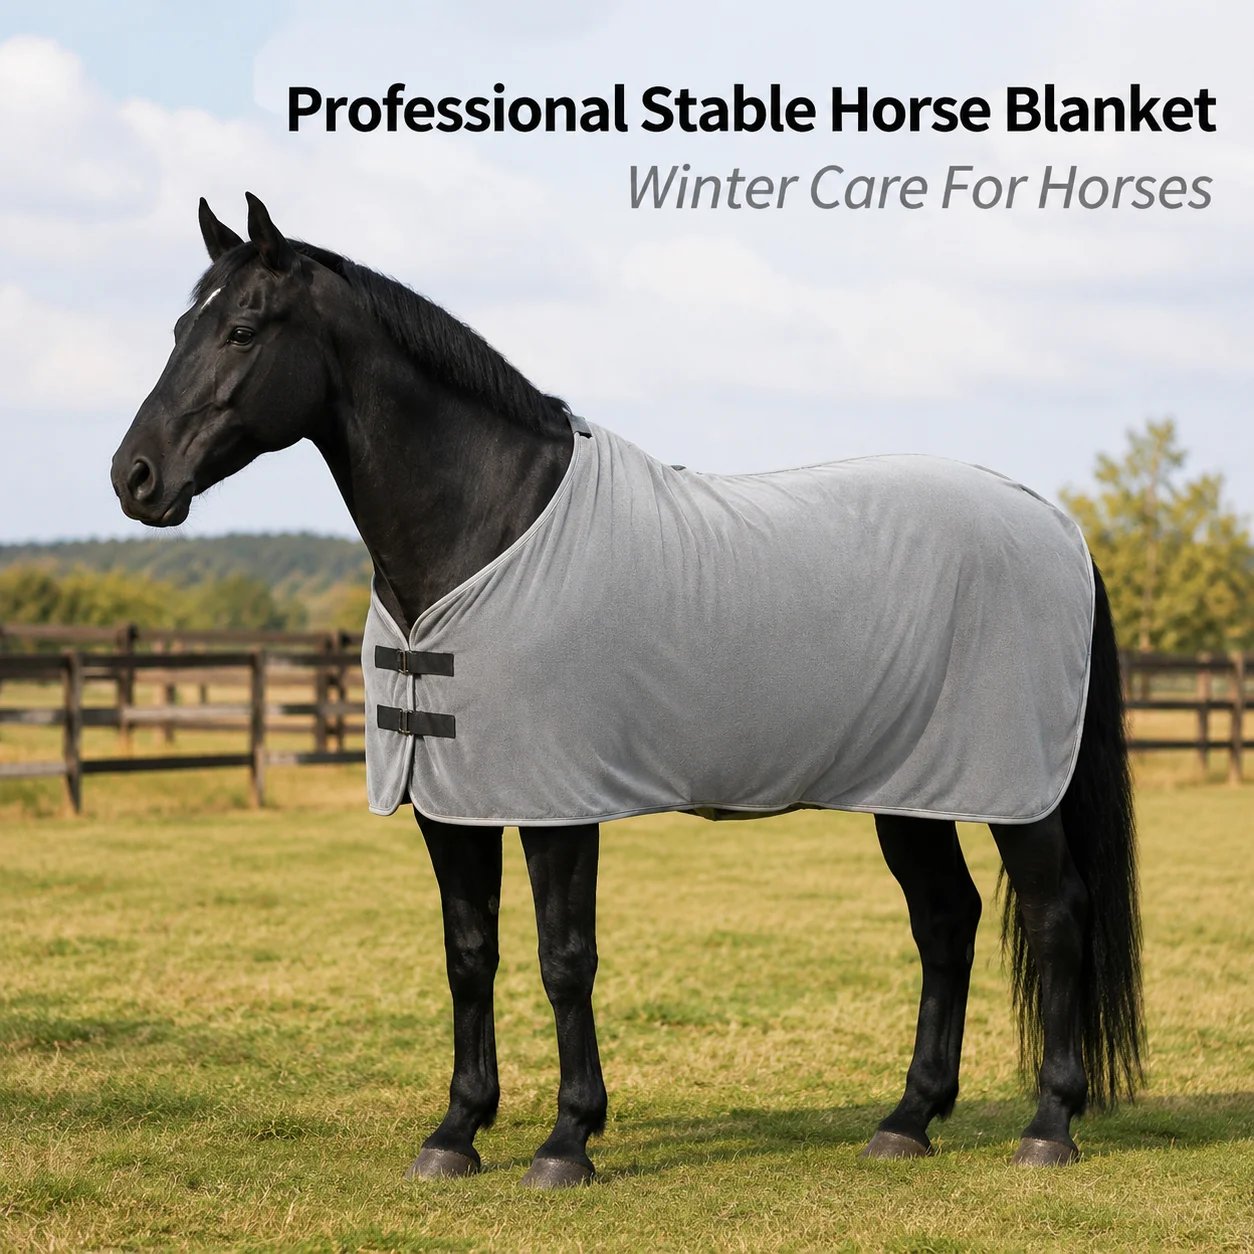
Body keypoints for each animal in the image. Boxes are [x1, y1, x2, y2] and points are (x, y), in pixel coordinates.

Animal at [111, 194, 1143, 1188]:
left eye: (243, 329)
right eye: (180, 327)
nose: (135, 476)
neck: (487, 528)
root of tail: (1056, 523)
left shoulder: (558, 805)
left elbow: (564, 960)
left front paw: (567, 1141)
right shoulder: (449, 800)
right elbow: (468, 954)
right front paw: (456, 1133)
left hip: (1017, 792)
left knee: (1055, 917)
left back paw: (1049, 1126)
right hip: (911, 790)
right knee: (947, 922)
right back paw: (907, 1121)